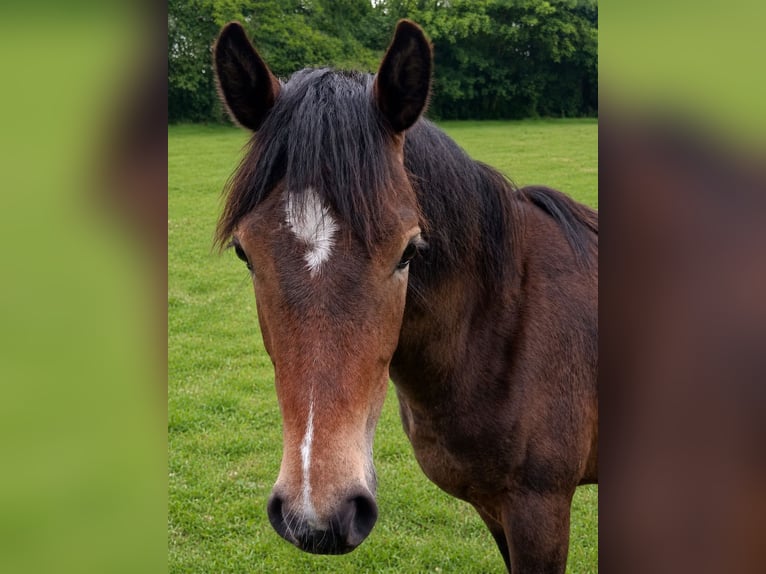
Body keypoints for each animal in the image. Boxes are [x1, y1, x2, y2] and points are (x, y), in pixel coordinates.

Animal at [213, 19, 598, 573]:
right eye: (246, 252)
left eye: (409, 250)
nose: (317, 516)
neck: (500, 328)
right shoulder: (494, 507)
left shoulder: (539, 509)